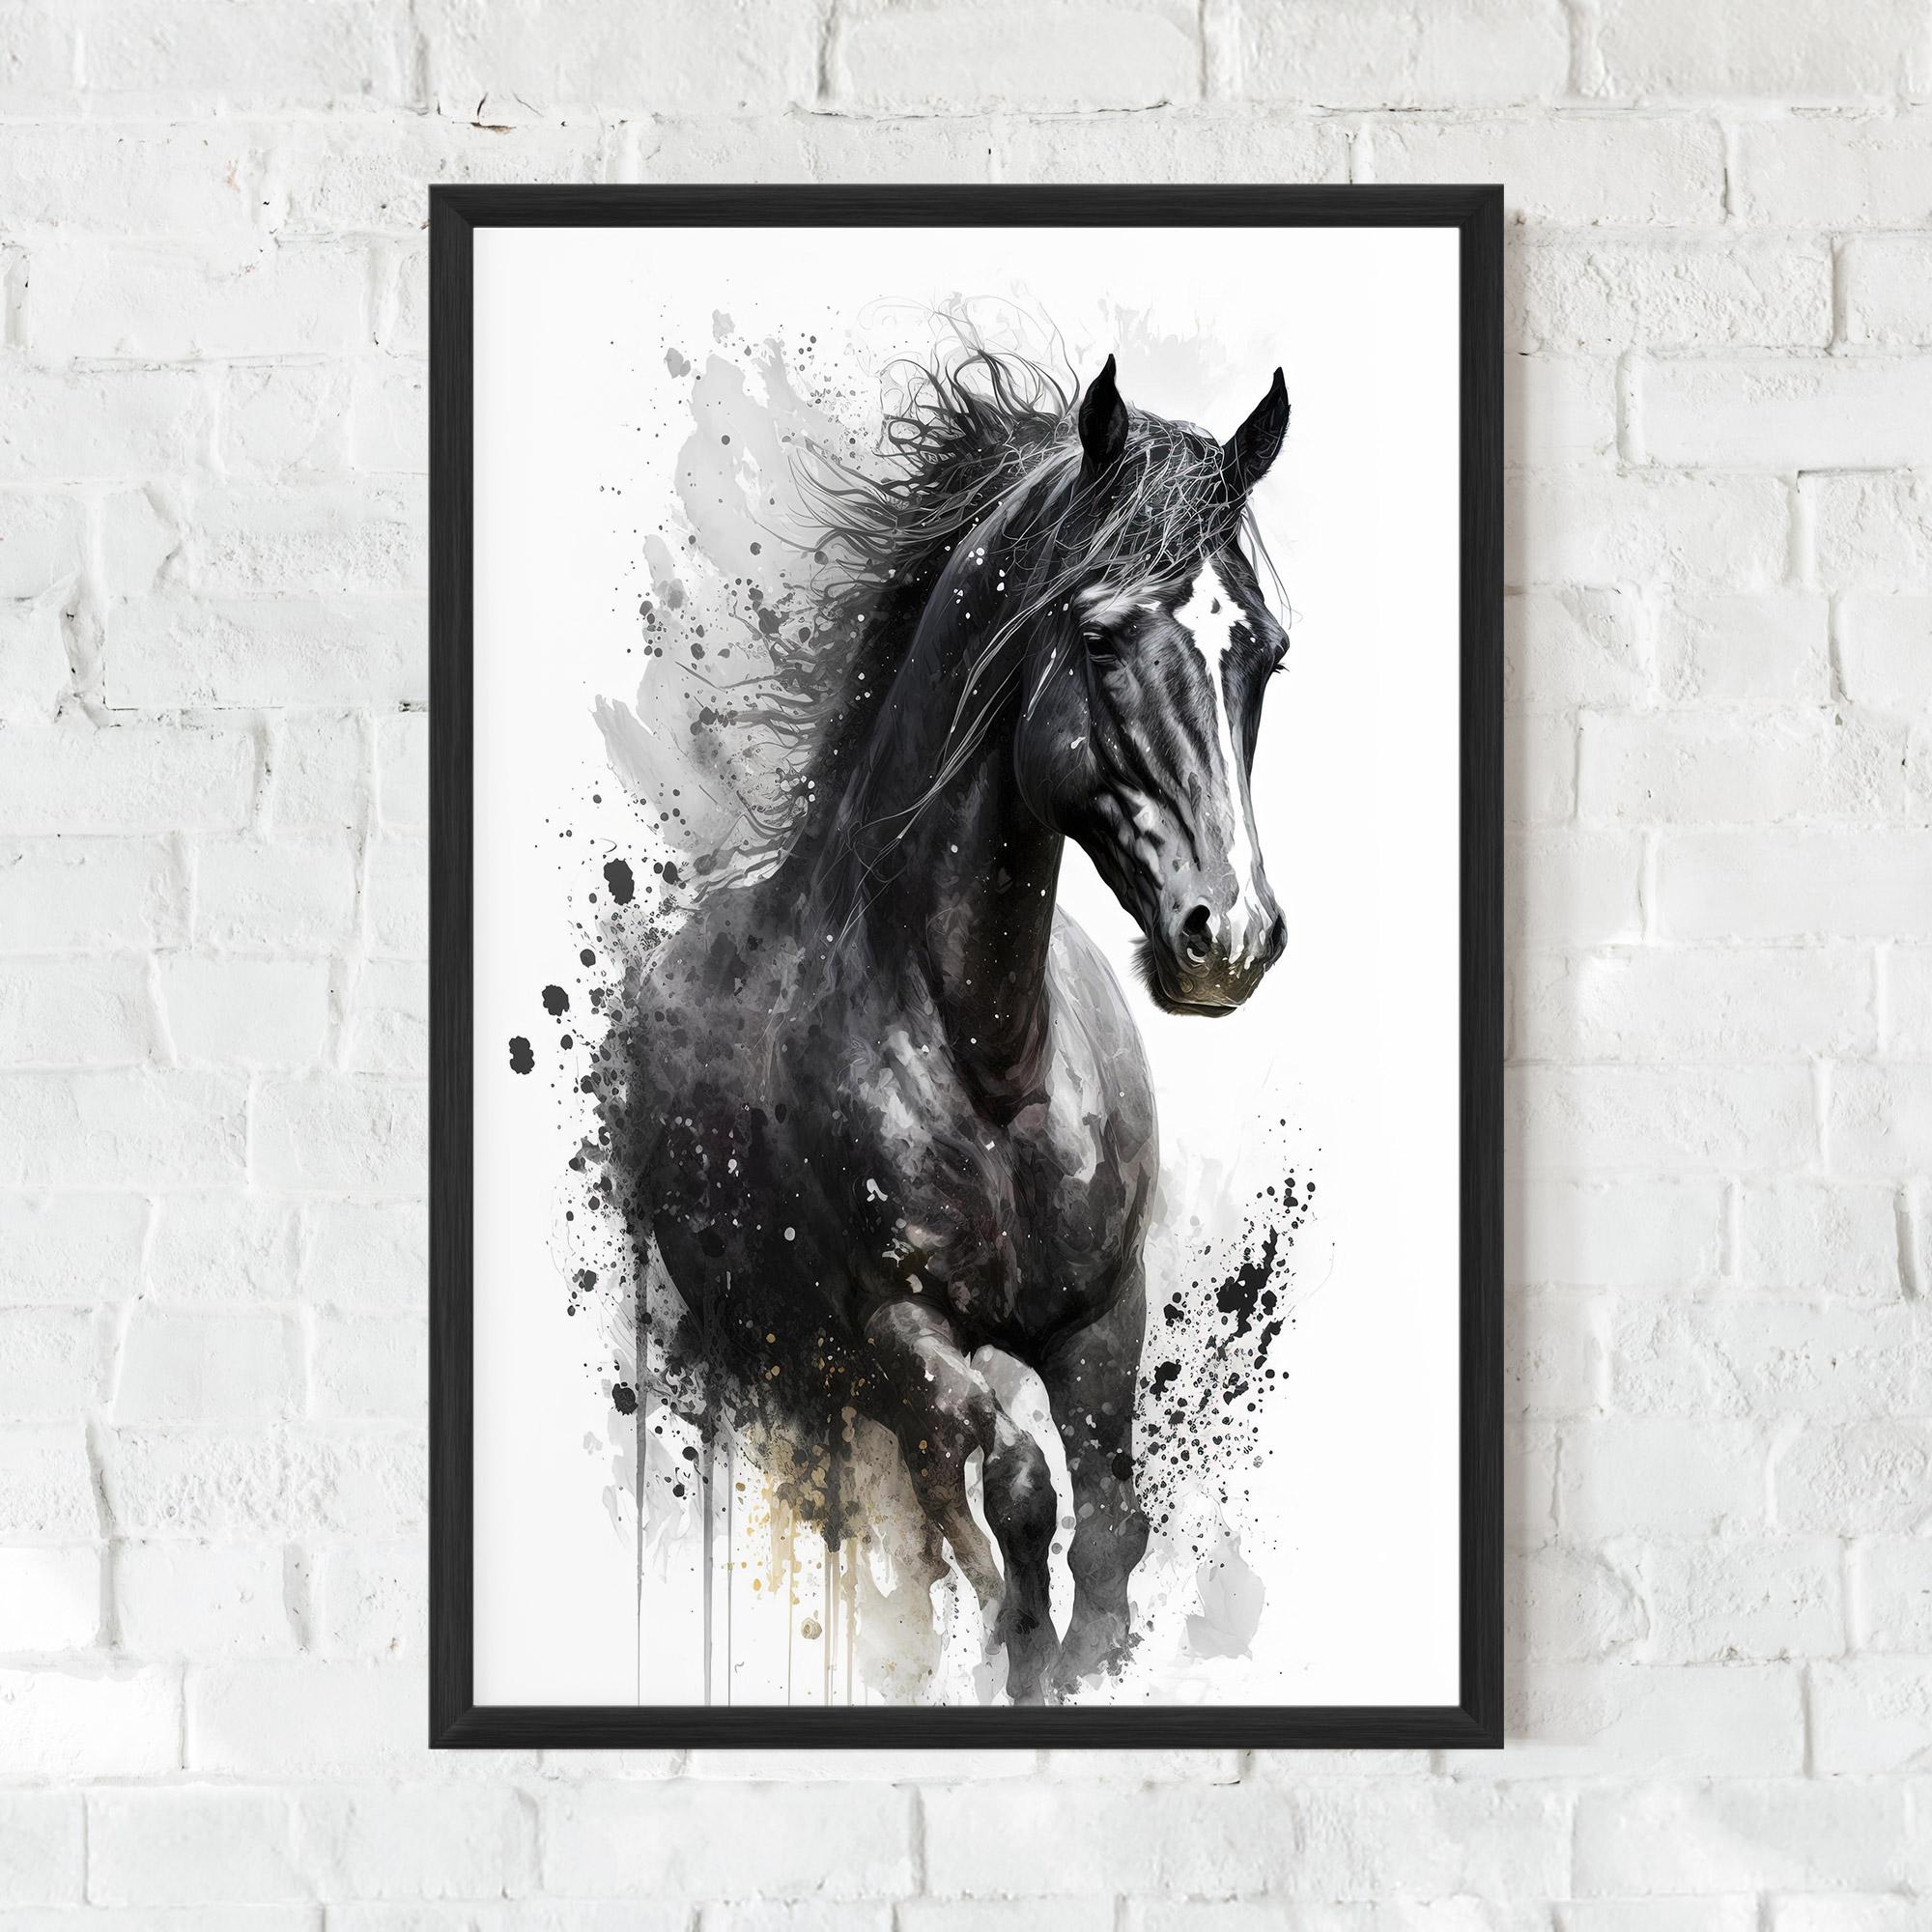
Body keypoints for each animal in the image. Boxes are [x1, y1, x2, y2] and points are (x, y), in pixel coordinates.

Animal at [610, 347, 1293, 1703]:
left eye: (1267, 653)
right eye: (1097, 635)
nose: (1228, 934)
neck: (989, 1057)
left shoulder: (1102, 1318)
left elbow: (1111, 1527)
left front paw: (1082, 1657)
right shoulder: (897, 1327)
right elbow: (1022, 1489)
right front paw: (1021, 1657)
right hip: (779, 1357)